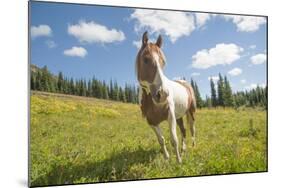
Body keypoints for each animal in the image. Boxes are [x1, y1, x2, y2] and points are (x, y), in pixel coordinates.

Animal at [135, 31, 196, 163]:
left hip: (191, 112)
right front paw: (167, 158)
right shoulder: (151, 122)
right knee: (183, 130)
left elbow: (174, 139)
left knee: (192, 128)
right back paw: (184, 149)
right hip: (179, 116)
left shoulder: (170, 116)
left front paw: (178, 162)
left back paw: (194, 146)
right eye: (145, 59)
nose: (162, 94)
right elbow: (161, 140)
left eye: (163, 62)